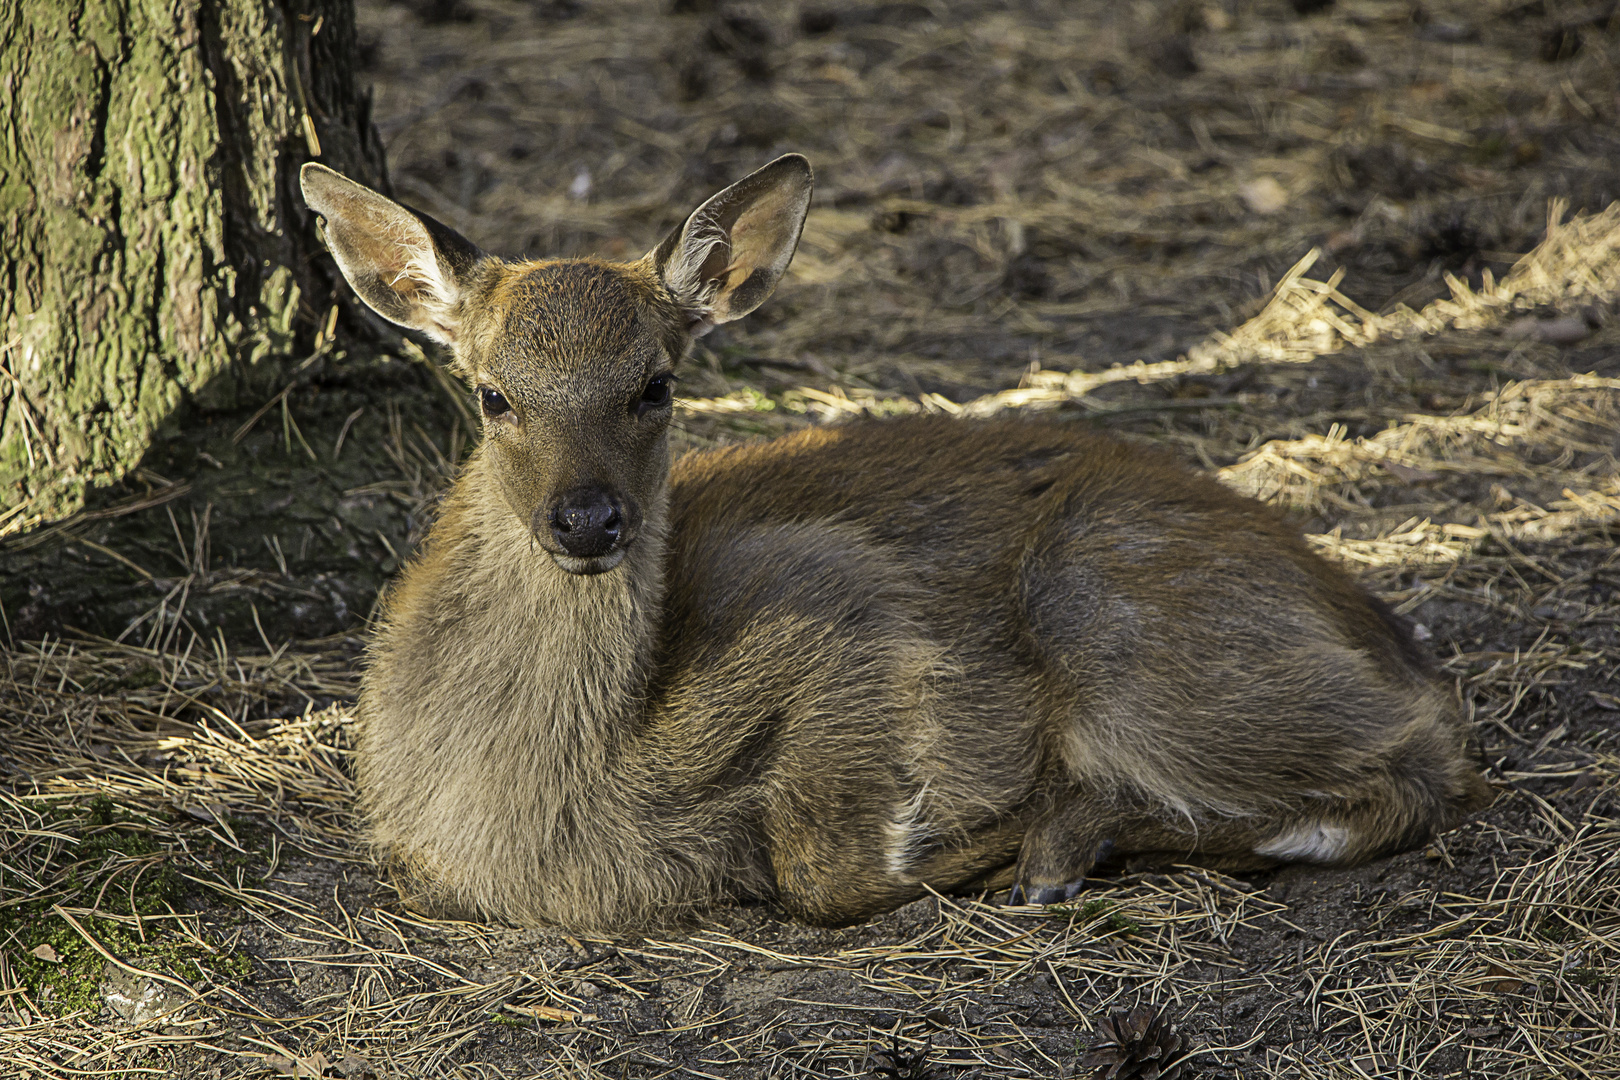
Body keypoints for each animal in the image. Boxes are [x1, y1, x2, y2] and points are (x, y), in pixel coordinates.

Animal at [298, 153, 1483, 939]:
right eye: (493, 393)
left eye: (656, 384)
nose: (587, 520)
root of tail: (1380, 627)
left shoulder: (842, 597)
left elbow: (827, 866)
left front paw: (1009, 835)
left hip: (1130, 633)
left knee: (1410, 769)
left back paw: (1063, 845)